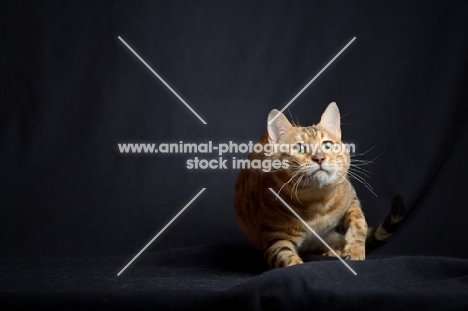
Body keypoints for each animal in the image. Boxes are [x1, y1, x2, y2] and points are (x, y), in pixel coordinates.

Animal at [236, 103, 404, 270]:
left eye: (327, 145)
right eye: (299, 148)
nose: (319, 158)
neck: (316, 202)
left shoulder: (351, 199)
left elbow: (359, 221)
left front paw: (355, 250)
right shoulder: (276, 238)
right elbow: (287, 258)